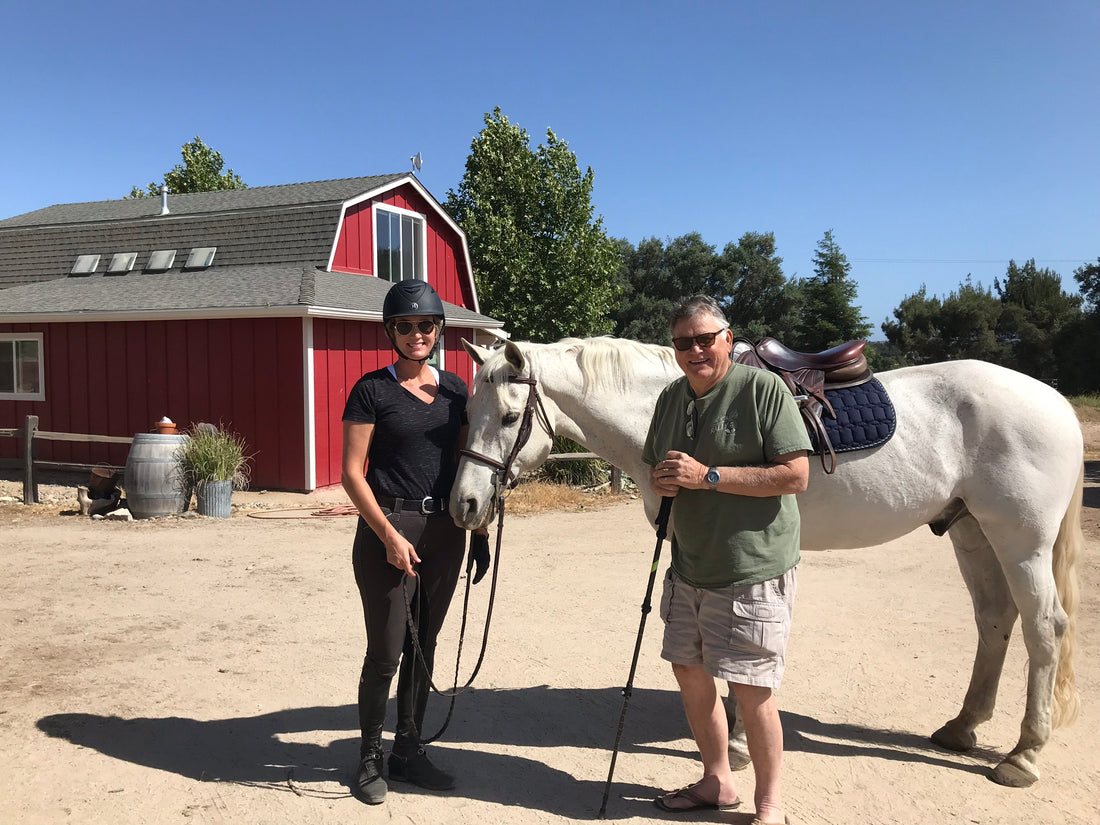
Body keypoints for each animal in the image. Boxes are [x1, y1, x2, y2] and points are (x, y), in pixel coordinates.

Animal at [451, 336, 1086, 787]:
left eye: (507, 417)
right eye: (467, 412)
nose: (465, 505)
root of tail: (1054, 400)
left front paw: (733, 741)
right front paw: (733, 731)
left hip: (1021, 542)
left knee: (1044, 628)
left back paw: (1023, 756)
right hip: (972, 532)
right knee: (995, 620)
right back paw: (963, 727)